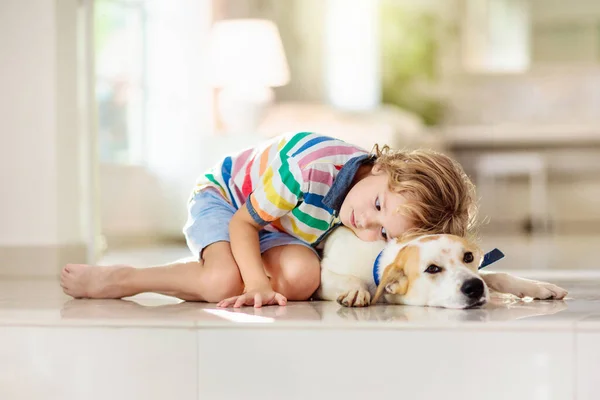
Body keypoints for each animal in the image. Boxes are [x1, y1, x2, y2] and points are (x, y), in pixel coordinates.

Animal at [316, 225, 568, 310]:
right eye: (432, 269)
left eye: (468, 256)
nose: (474, 287)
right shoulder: (324, 276)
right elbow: (349, 279)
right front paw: (356, 291)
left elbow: (497, 275)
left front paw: (537, 287)